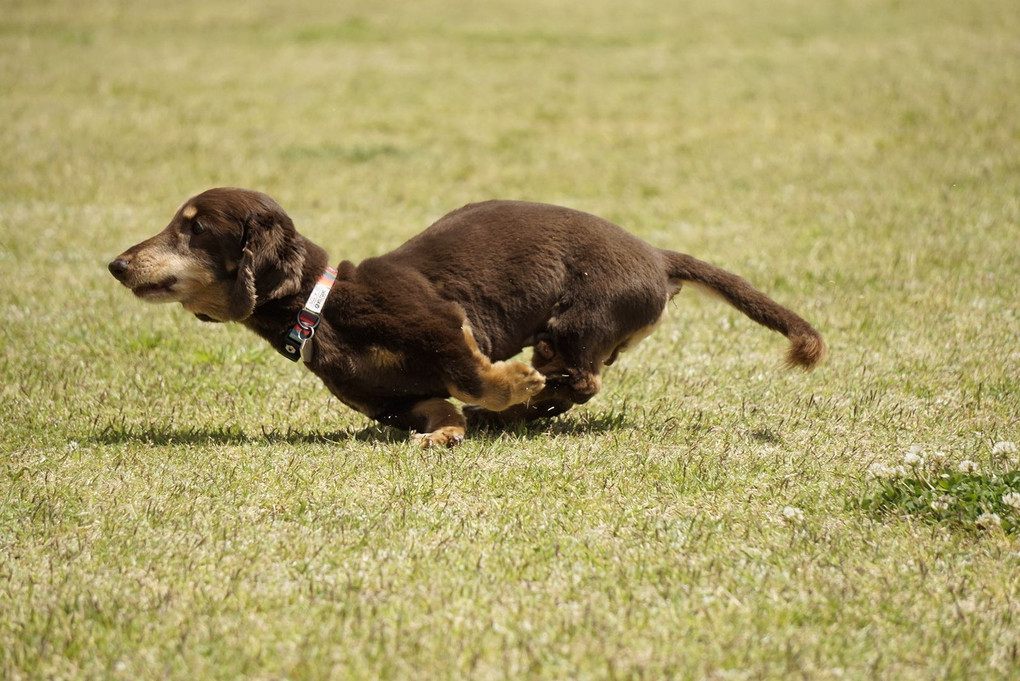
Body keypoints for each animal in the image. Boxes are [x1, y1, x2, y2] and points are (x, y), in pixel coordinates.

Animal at [109, 188, 828, 448]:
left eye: (192, 228)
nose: (116, 264)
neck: (322, 307)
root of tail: (656, 256)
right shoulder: (403, 400)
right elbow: (439, 407)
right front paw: (448, 434)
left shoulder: (440, 325)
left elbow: (474, 373)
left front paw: (506, 390)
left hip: (574, 322)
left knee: (579, 380)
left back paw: (527, 397)